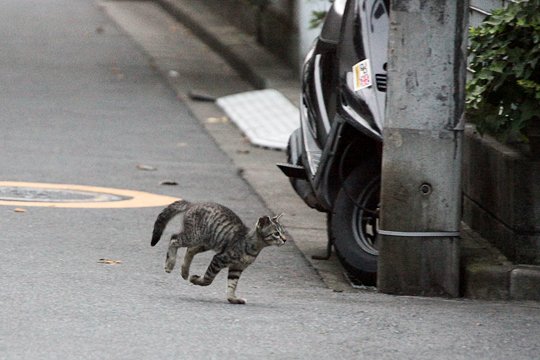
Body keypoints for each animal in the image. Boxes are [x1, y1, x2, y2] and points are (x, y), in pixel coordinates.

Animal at [151, 200, 286, 304]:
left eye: (283, 232)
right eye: (276, 234)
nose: (285, 239)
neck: (253, 246)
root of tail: (193, 204)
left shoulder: (237, 268)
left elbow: (232, 284)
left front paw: (232, 299)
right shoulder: (219, 259)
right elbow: (208, 279)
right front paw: (196, 280)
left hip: (205, 242)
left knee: (190, 249)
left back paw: (184, 271)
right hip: (194, 236)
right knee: (174, 239)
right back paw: (170, 264)